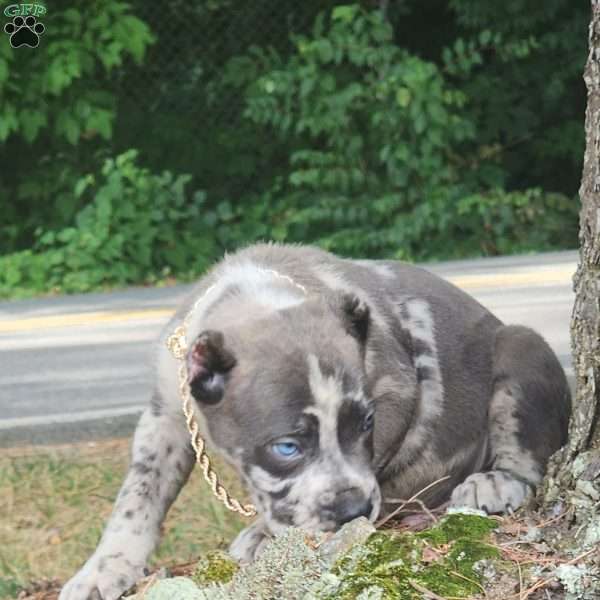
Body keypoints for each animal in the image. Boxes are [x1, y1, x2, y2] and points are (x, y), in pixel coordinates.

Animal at [61, 244, 572, 600]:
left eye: (365, 425)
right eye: (287, 447)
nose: (352, 512)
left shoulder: (399, 392)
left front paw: (266, 535)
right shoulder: (164, 415)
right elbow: (137, 498)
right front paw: (103, 568)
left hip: (521, 346)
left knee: (528, 453)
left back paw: (494, 481)